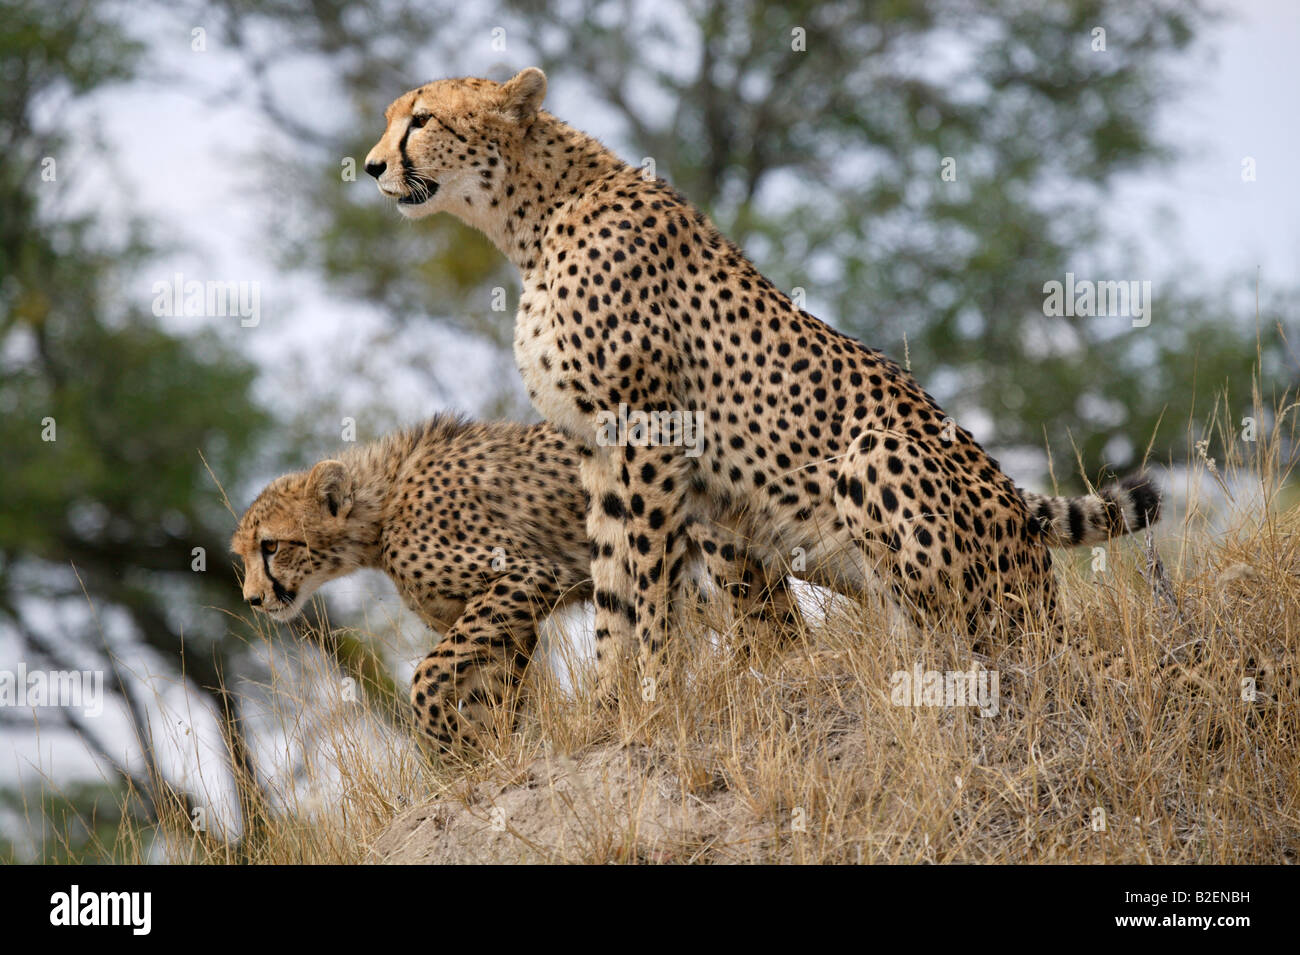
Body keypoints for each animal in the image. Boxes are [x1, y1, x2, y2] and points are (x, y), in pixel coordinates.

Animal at [366, 69, 1170, 696]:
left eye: (422, 119)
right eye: (391, 118)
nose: (371, 167)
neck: (537, 216)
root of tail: (1040, 572)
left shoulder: (650, 430)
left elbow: (646, 578)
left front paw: (651, 691)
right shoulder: (597, 445)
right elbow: (613, 582)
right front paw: (612, 699)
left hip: (879, 459)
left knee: (962, 641)